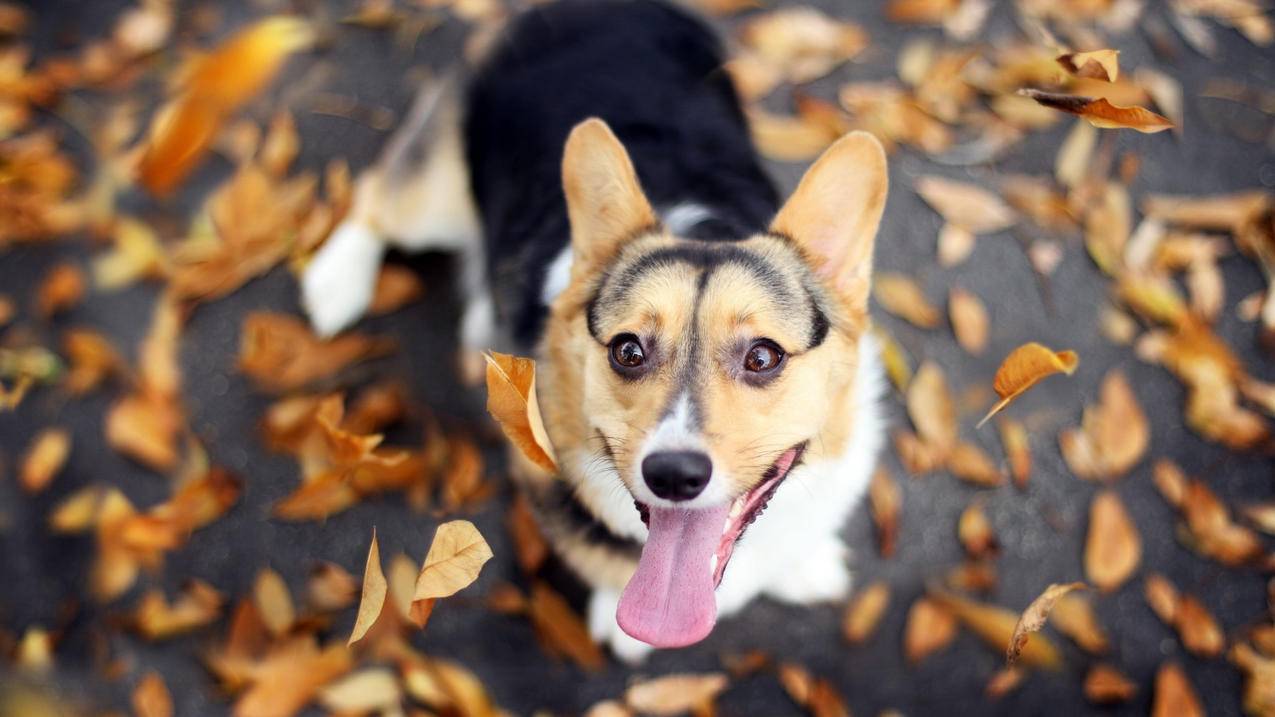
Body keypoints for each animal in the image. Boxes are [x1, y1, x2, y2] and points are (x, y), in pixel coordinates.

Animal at [302, 0, 887, 658]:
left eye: (763, 357)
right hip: (438, 197)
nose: (674, 476)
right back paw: (337, 281)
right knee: (376, 197)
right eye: (628, 351)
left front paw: (805, 567)